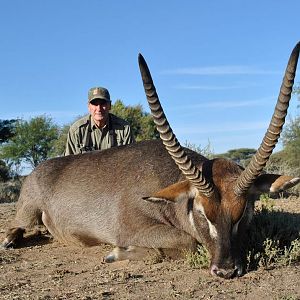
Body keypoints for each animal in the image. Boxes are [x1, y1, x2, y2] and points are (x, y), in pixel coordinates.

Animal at [2, 42, 300, 278]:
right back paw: (10, 240)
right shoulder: (133, 228)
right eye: (201, 212)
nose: (226, 270)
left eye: (244, 211)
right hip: (27, 214)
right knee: (18, 226)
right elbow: (188, 242)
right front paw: (116, 254)